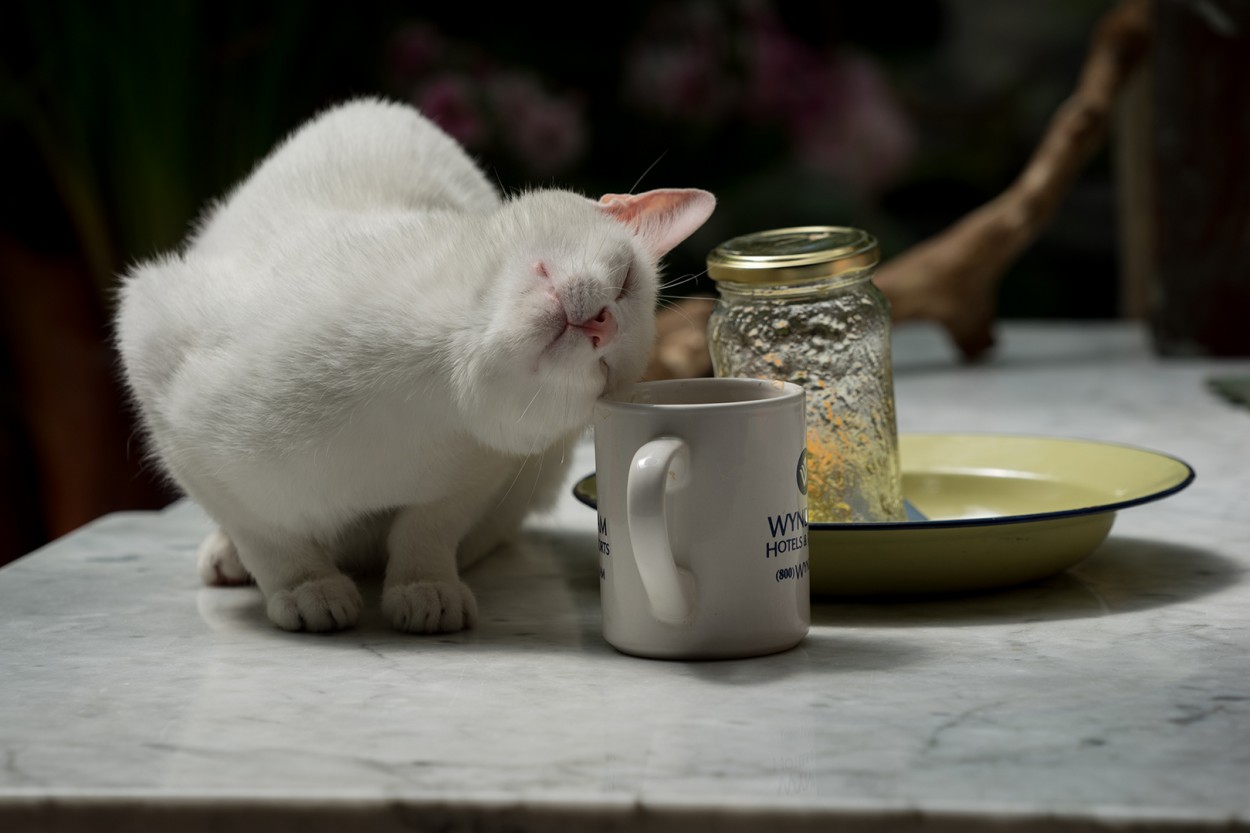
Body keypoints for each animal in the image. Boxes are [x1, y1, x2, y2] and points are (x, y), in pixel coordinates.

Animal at [120, 95, 720, 630]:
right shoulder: (154, 352)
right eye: (625, 282)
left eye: (606, 373)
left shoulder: (487, 472)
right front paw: (304, 585)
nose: (601, 325)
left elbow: (429, 525)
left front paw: (423, 585)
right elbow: (261, 529)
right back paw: (231, 558)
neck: (423, 366)